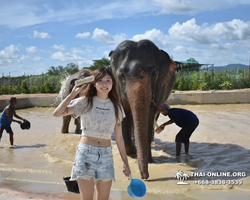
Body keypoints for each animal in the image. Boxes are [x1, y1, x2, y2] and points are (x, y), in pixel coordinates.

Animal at [108, 39, 177, 180]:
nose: (145, 177)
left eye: (154, 74)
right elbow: (124, 114)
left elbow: (149, 114)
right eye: (121, 76)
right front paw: (131, 154)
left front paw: (148, 159)